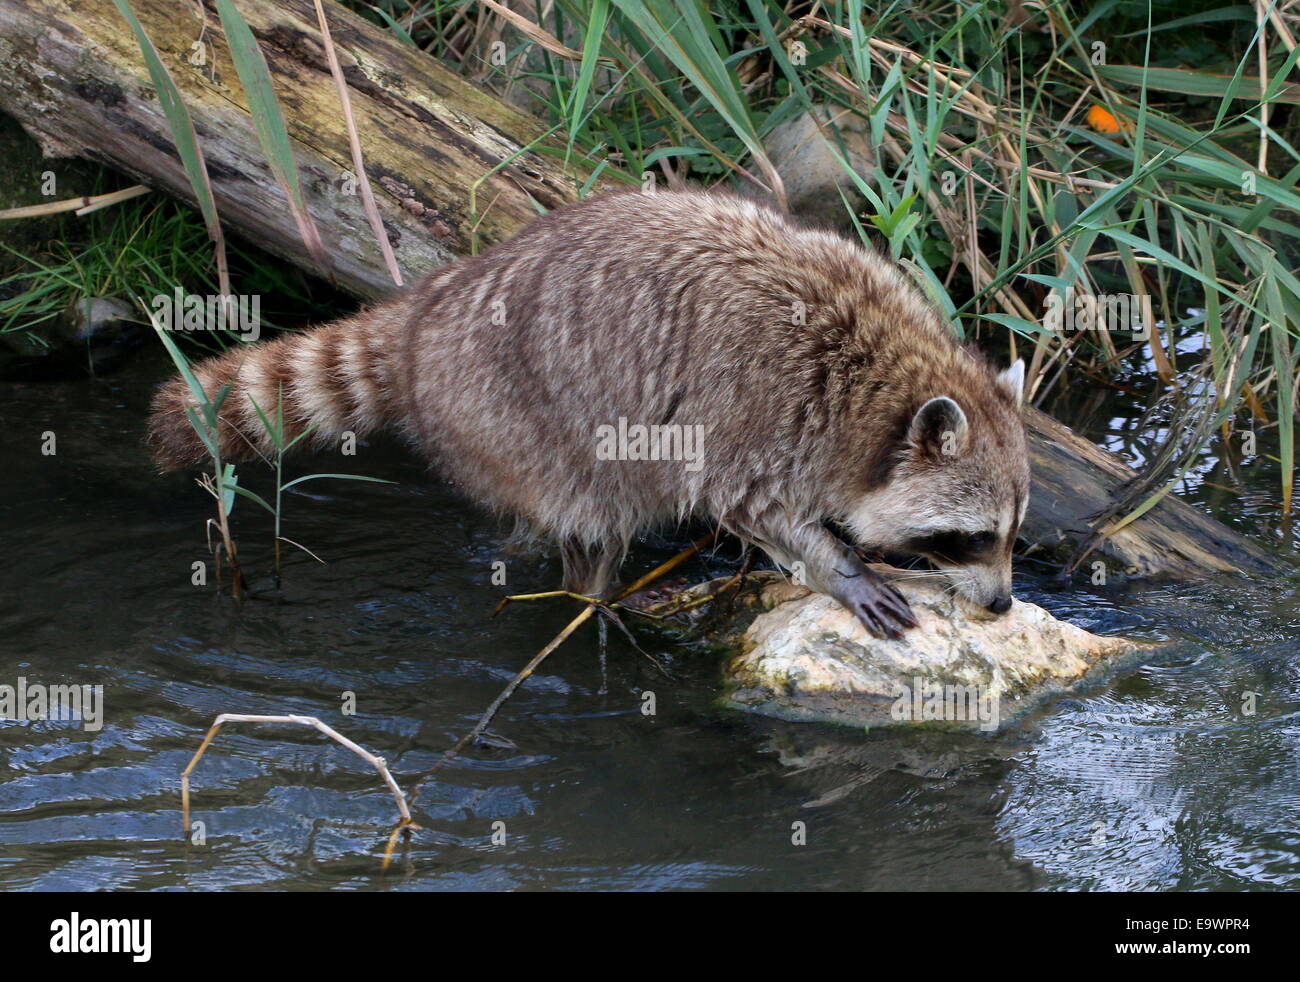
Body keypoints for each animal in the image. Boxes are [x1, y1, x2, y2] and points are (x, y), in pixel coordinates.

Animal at [149, 188, 1024, 642]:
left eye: (1013, 534)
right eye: (973, 536)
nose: (1003, 603)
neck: (879, 380)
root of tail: (427, 314)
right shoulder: (756, 406)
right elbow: (745, 501)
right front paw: (839, 567)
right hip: (511, 414)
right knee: (590, 519)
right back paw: (593, 602)